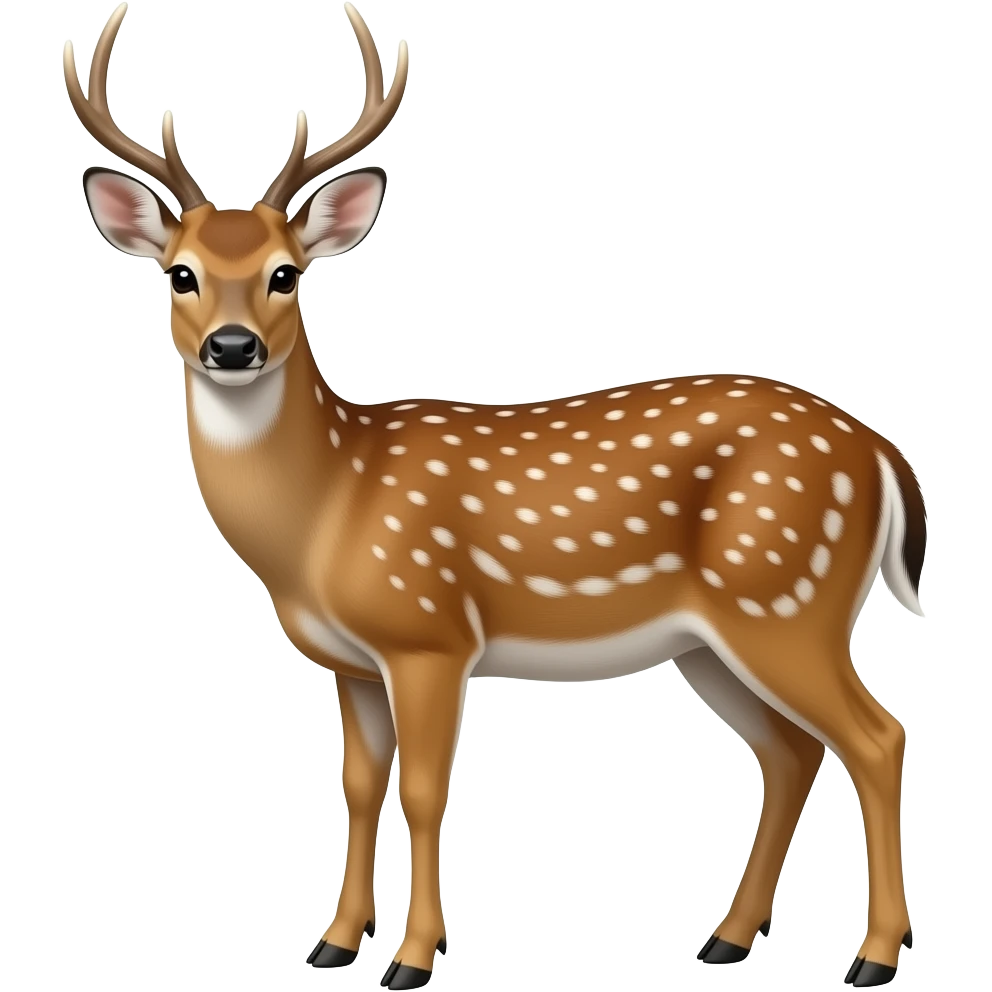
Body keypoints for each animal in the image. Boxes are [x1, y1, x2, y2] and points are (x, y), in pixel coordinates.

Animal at [63, 6, 927, 989]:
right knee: (791, 752)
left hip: (787, 597)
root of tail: (879, 451)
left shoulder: (430, 634)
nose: (234, 347)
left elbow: (424, 789)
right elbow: (358, 786)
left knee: (877, 737)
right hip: (713, 638)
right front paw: (333, 943)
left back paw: (873, 957)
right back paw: (727, 939)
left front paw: (413, 958)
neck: (328, 511)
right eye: (180, 273)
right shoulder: (352, 662)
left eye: (288, 272)